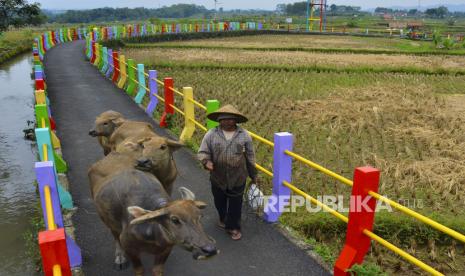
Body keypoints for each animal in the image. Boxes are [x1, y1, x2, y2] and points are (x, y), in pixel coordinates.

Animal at [90, 168, 218, 276]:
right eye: (174, 220)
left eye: (200, 216)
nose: (210, 250)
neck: (153, 236)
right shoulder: (129, 246)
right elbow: (139, 270)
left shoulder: (167, 248)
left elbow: (157, 270)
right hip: (109, 223)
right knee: (115, 237)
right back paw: (120, 259)